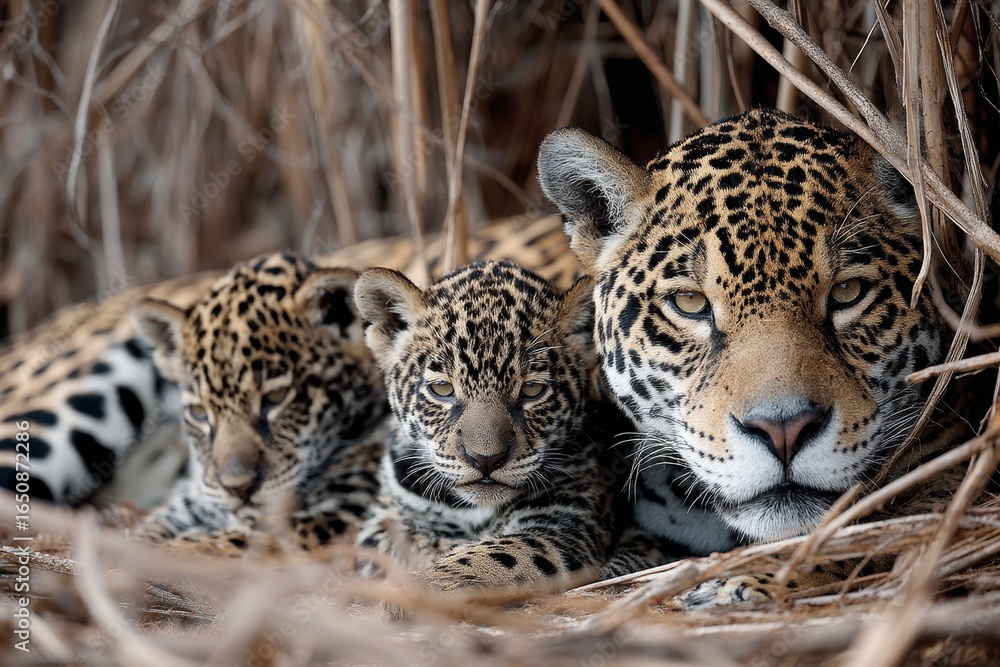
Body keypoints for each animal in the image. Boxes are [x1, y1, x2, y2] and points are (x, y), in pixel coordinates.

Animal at [353, 260, 616, 591]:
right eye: (442, 389)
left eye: (532, 389)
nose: (485, 459)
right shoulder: (388, 516)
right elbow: (401, 544)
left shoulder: (567, 524)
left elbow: (494, 553)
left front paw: (428, 584)